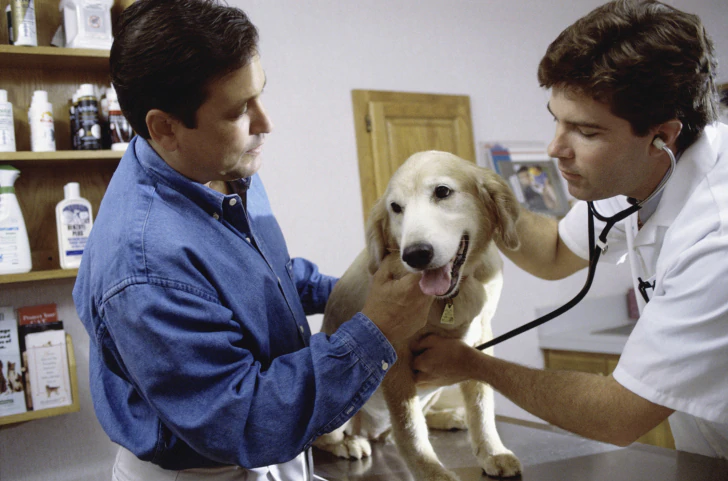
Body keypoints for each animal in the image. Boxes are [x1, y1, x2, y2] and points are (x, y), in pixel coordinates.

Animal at [314, 151, 524, 480]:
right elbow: (410, 428)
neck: (452, 296)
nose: (415, 254)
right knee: (327, 438)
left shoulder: (478, 341)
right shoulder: (394, 356)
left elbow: (482, 407)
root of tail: (373, 431)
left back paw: (448, 417)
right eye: (396, 208)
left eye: (442, 191)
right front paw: (431, 472)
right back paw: (349, 443)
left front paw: (492, 452)